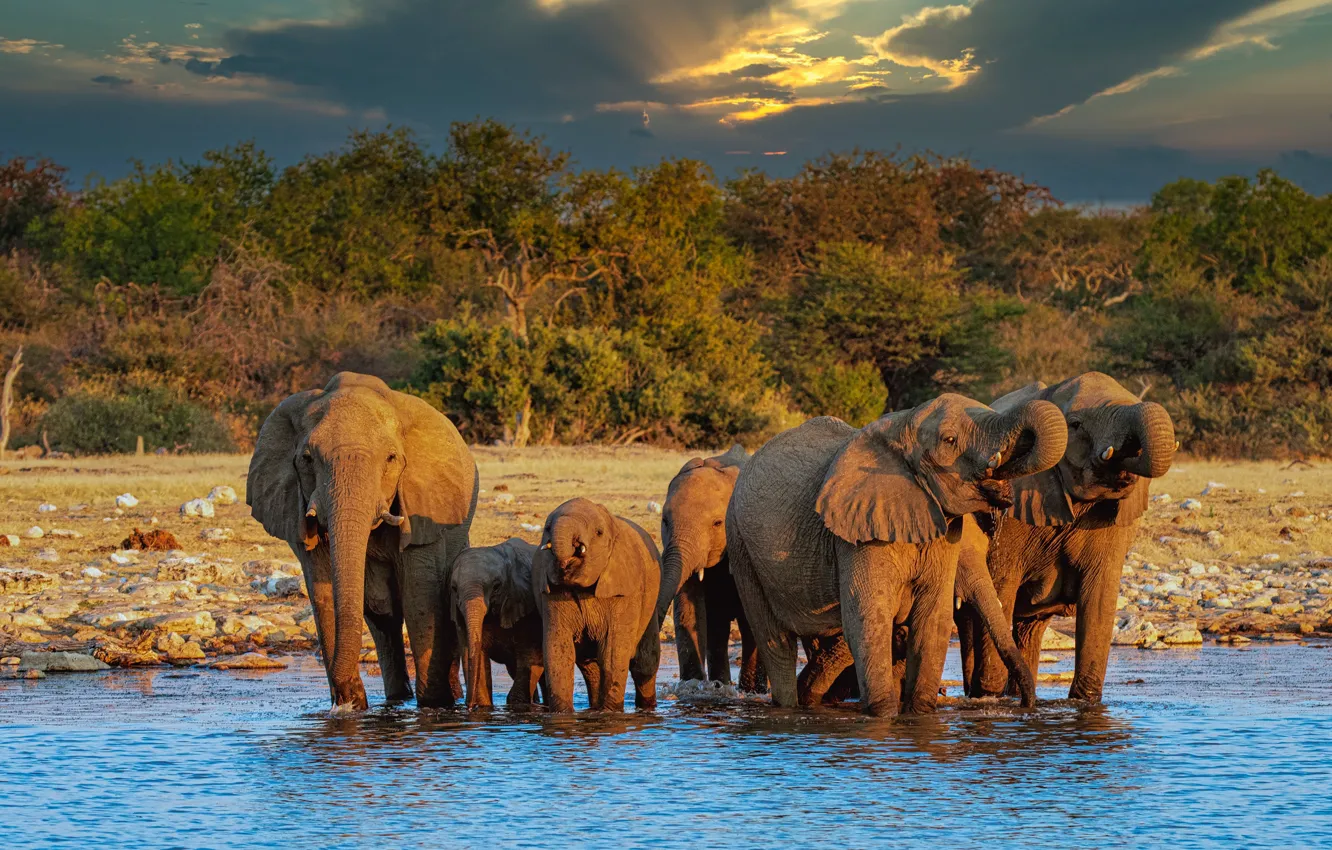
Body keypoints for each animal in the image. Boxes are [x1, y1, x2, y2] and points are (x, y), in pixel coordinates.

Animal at [247, 372, 478, 712]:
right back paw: (397, 699)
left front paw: (433, 705)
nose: (343, 700)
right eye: (307, 459)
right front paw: (352, 708)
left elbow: (420, 598)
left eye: (391, 458)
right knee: (382, 617)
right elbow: (323, 594)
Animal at [532, 498, 662, 713]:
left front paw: (610, 713)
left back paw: (646, 708)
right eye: (547, 528)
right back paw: (594, 708)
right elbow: (558, 650)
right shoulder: (551, 594)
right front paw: (562, 714)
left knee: (644, 664)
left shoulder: (625, 592)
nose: (573, 549)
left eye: (599, 533)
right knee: (590, 667)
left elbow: (612, 652)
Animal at [657, 443, 765, 691]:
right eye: (665, 521)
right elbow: (688, 608)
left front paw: (753, 692)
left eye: (717, 523)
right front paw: (693, 687)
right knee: (717, 625)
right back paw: (720, 685)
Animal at [726, 392, 1068, 716]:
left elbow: (932, 619)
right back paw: (790, 705)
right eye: (949, 440)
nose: (1025, 705)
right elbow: (870, 616)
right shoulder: (858, 532)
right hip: (741, 546)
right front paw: (884, 716)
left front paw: (919, 716)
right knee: (775, 642)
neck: (904, 427)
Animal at [956, 372, 1176, 704]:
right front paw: (990, 698)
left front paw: (1085, 703)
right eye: (1075, 424)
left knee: (1028, 629)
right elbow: (1001, 586)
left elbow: (1099, 599)